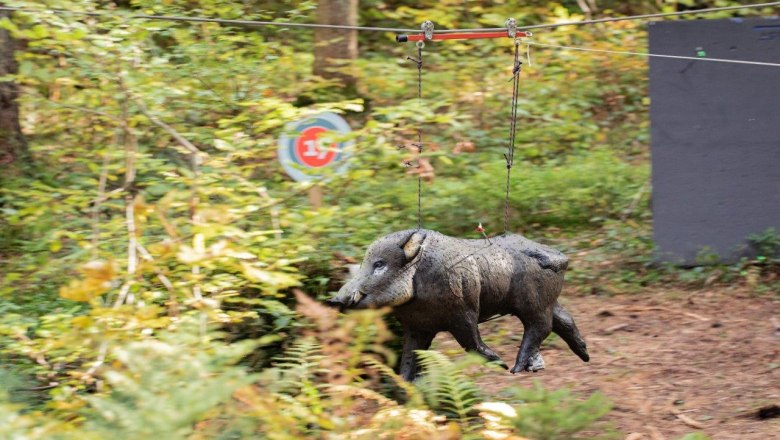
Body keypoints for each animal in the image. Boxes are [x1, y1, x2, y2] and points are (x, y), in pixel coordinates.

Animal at [327, 229, 589, 381]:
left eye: (380, 264)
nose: (336, 300)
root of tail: (560, 257)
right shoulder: (417, 326)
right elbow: (411, 353)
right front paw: (406, 382)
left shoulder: (464, 313)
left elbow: (471, 342)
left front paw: (500, 364)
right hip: (548, 302)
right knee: (563, 320)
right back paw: (584, 355)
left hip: (533, 304)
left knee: (540, 327)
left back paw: (515, 369)